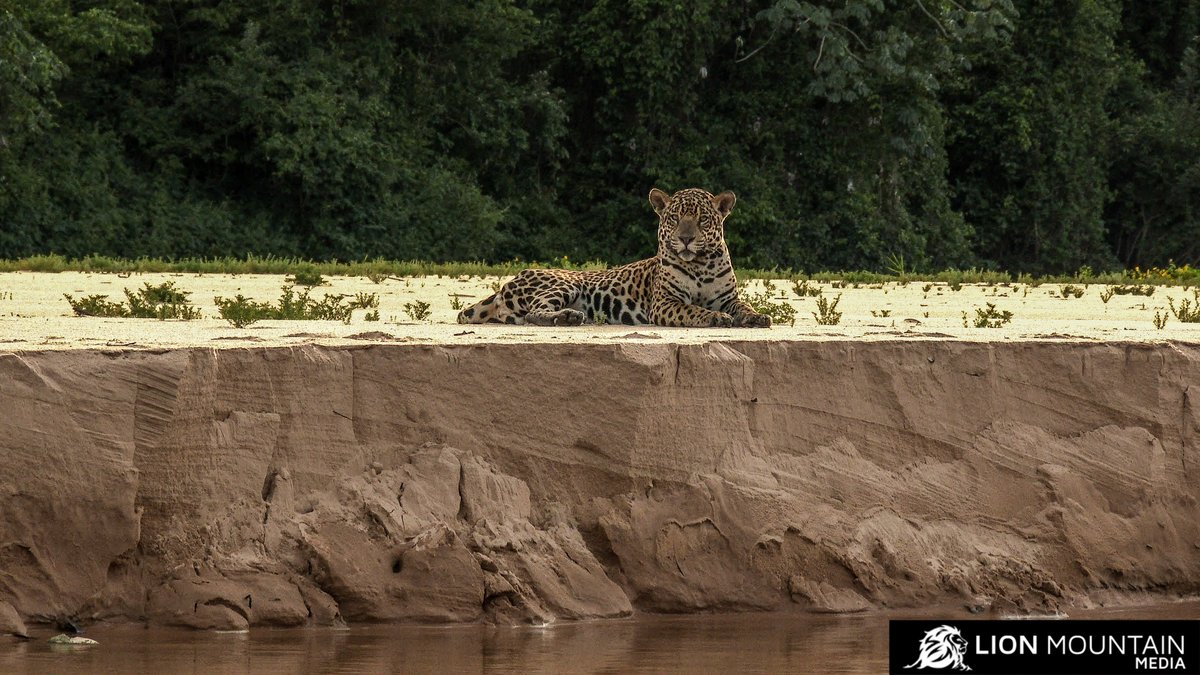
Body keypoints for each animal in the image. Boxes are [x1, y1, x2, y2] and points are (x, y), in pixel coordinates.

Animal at [456, 187, 771, 328]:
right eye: (674, 218)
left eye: (703, 220)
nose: (686, 238)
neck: (702, 264)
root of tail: (505, 285)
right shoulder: (665, 303)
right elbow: (693, 310)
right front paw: (715, 318)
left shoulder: (728, 299)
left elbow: (744, 307)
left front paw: (757, 317)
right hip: (563, 283)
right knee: (534, 312)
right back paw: (567, 317)